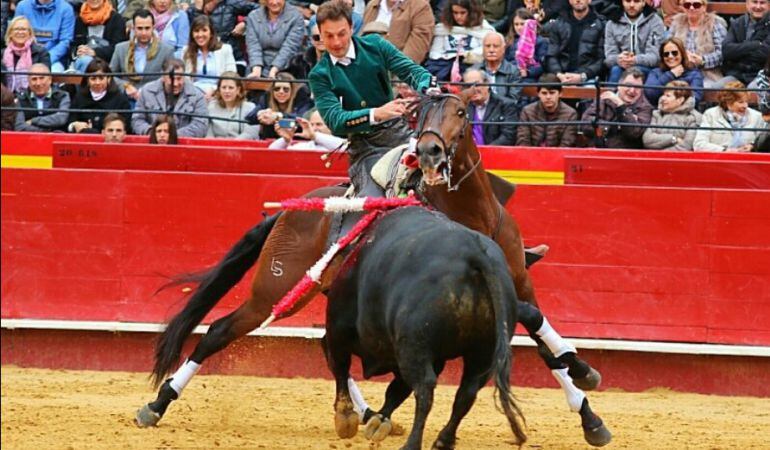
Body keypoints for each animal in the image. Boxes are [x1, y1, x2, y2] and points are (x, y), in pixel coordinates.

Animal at [320, 206, 524, 448]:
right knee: (467, 392)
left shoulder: (338, 329)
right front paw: (379, 421)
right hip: (482, 353)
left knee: (425, 388)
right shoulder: (433, 357)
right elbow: (396, 390)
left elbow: (341, 367)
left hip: (414, 345)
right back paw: (443, 440)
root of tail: (474, 253)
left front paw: (346, 418)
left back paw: (412, 443)